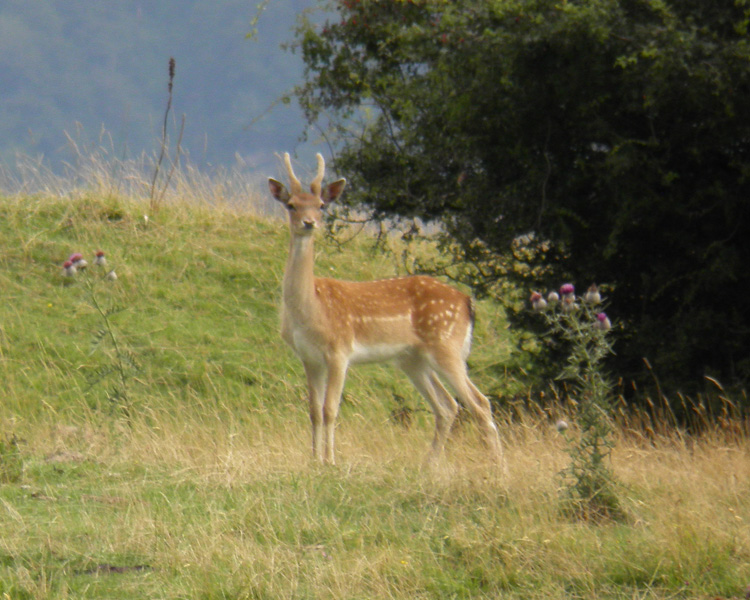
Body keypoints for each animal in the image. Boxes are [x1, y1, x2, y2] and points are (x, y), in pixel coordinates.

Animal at [268, 154, 502, 464]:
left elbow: (330, 410)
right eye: (291, 205)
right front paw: (314, 461)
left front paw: (330, 462)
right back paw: (429, 465)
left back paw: (498, 468)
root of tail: (467, 302)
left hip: (446, 346)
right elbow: (314, 411)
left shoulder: (340, 350)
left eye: (321, 205)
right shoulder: (309, 357)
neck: (311, 308)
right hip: (413, 360)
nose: (309, 222)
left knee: (479, 403)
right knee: (448, 406)